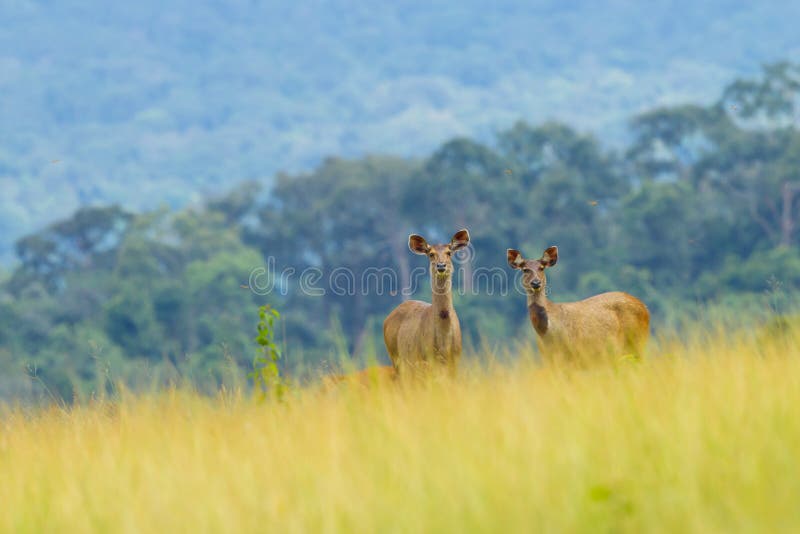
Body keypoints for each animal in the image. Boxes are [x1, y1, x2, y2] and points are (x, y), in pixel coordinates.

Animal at [384, 229, 472, 376]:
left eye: (449, 252)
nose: (441, 265)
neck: (444, 341)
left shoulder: (455, 360)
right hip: (396, 358)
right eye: (431, 254)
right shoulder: (427, 358)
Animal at [506, 247, 648, 364]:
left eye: (541, 267)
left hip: (637, 340)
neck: (547, 331)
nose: (536, 283)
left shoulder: (573, 353)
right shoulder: (549, 359)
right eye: (525, 269)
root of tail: (645, 308)